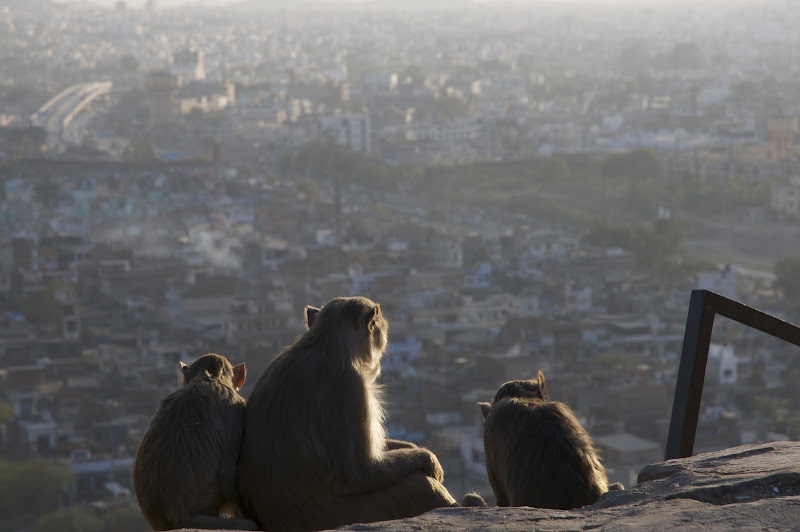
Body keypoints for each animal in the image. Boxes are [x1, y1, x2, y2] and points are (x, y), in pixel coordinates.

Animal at [238, 296, 456, 532]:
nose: (380, 348)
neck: (328, 344)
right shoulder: (351, 387)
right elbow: (359, 473)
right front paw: (429, 460)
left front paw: (411, 447)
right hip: (343, 514)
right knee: (419, 485)